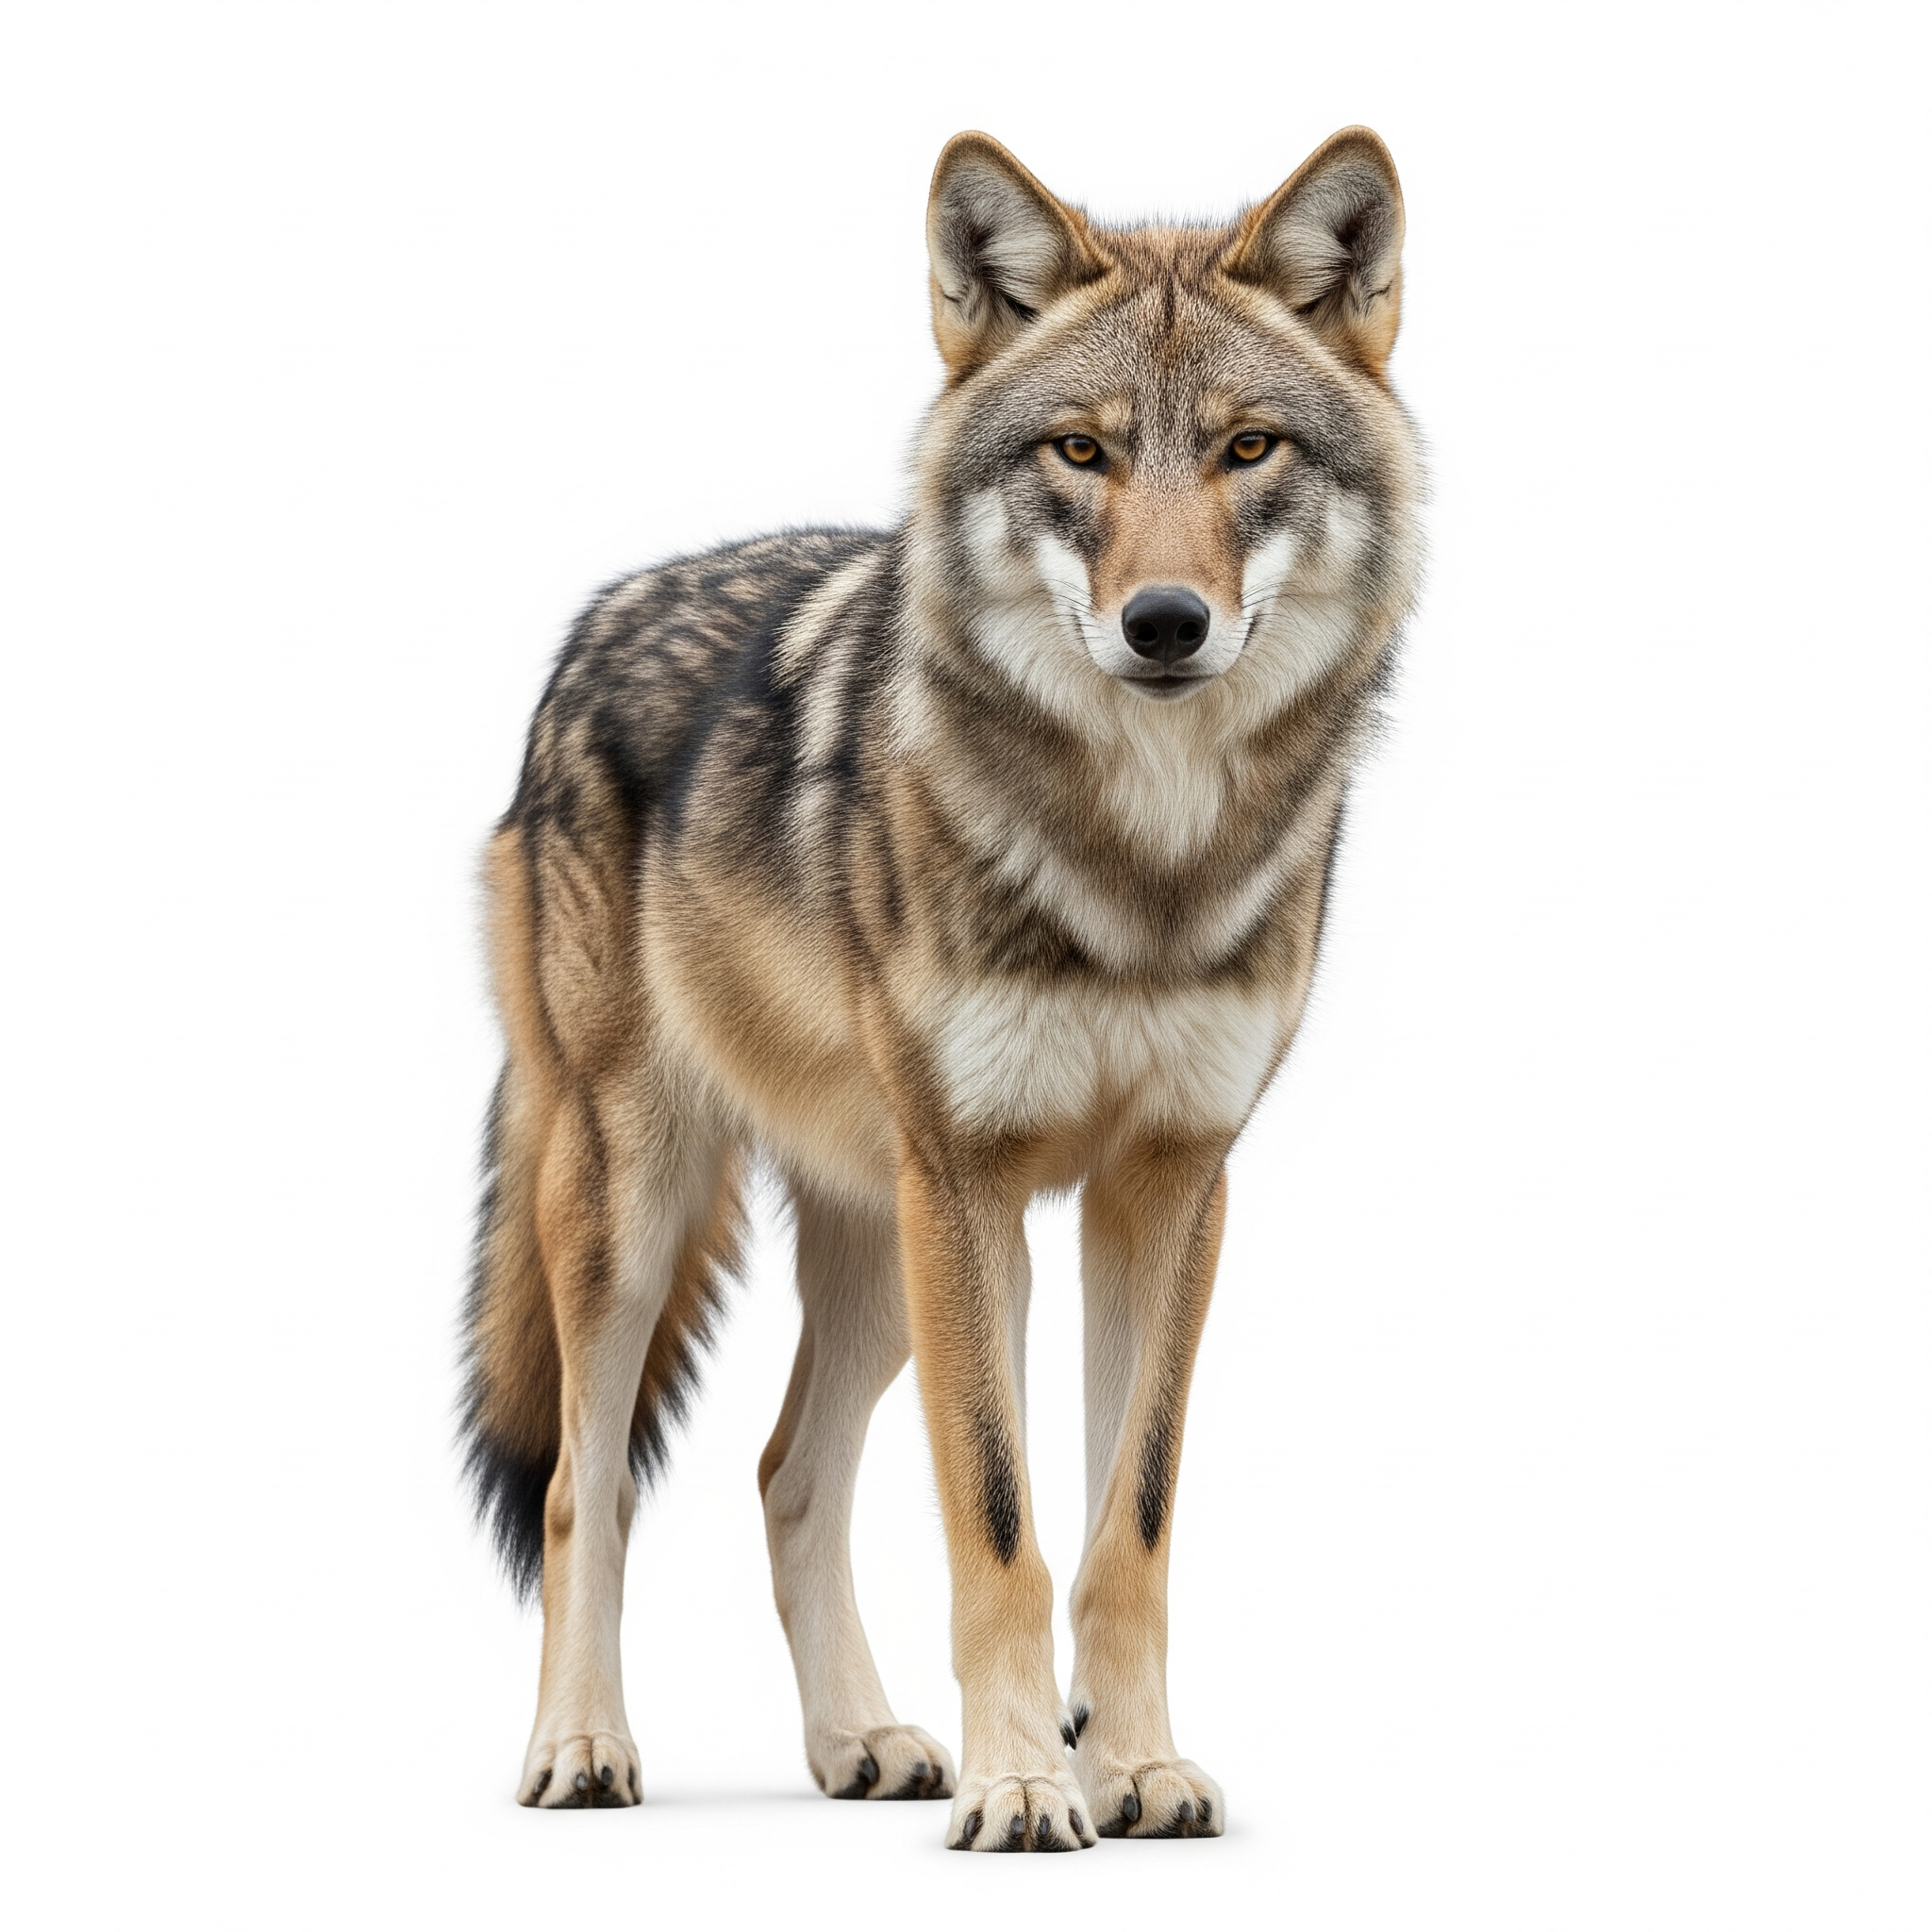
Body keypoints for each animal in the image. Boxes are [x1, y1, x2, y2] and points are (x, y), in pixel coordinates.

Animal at [462, 126, 1421, 1850]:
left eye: (1247, 449)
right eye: (1080, 453)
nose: (1162, 623)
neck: (1140, 863)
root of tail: (590, 626)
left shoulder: (1166, 1185)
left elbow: (1121, 1526)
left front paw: (1129, 1767)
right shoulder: (971, 1182)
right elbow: (998, 1524)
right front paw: (1026, 1786)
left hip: (880, 1242)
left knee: (786, 1471)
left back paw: (863, 1739)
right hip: (644, 1202)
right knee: (586, 1484)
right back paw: (580, 1749)